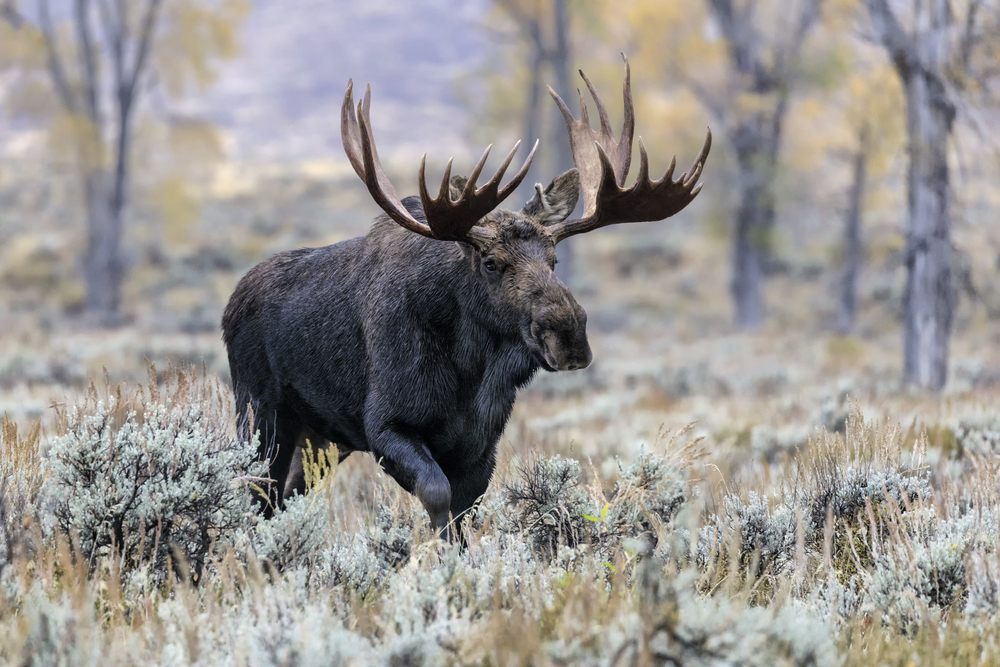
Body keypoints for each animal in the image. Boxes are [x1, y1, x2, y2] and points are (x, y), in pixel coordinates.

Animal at [222, 56, 710, 538]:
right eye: (491, 262)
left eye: (554, 259)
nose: (569, 336)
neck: (470, 372)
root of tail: (230, 305)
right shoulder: (385, 424)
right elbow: (437, 498)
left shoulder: (480, 444)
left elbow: (463, 513)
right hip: (261, 414)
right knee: (256, 493)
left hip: (320, 438)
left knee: (282, 497)